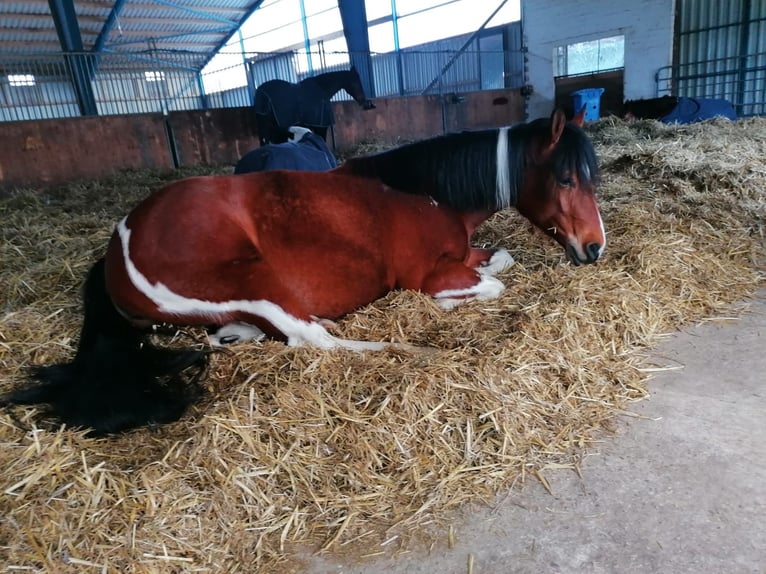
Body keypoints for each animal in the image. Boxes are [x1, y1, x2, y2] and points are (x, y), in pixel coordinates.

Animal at [3, 109, 608, 436]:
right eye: (565, 178)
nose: (594, 248)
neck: (422, 194)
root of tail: (118, 243)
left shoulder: (464, 255)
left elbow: (501, 260)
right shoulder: (429, 275)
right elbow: (492, 281)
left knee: (232, 336)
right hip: (255, 284)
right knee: (311, 339)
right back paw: (411, 349)